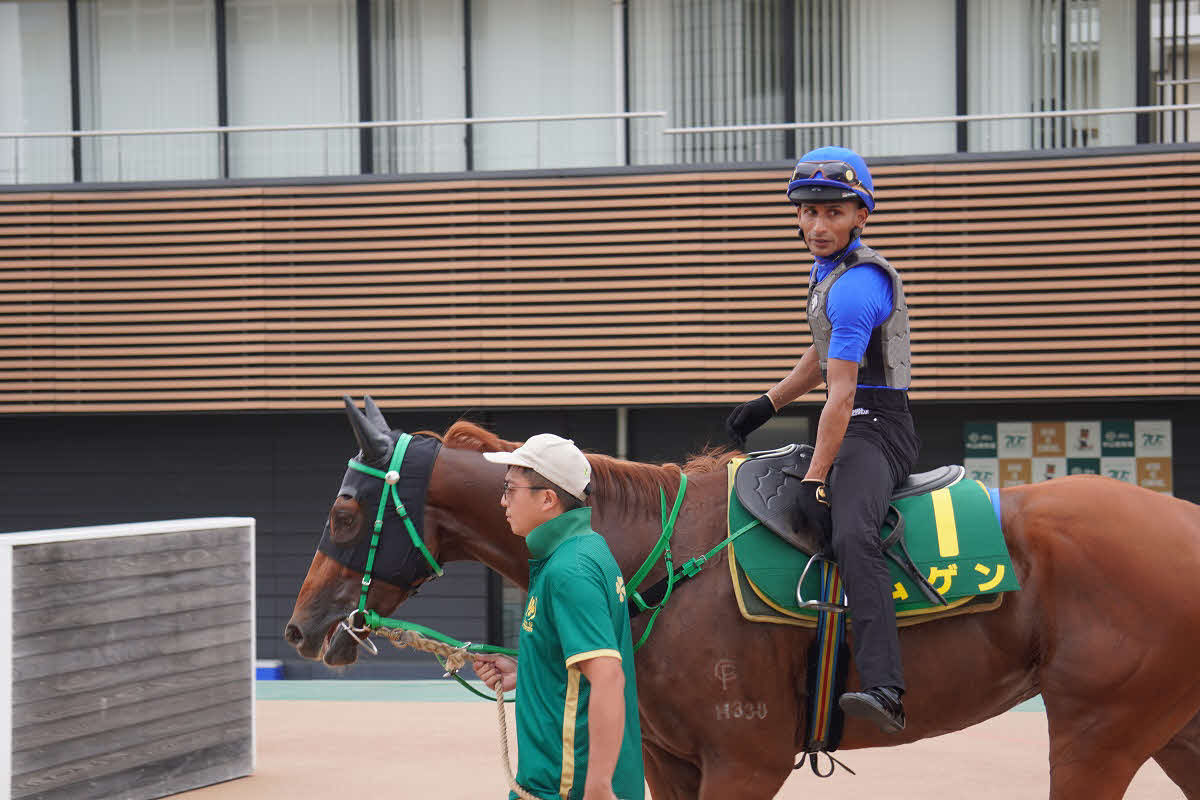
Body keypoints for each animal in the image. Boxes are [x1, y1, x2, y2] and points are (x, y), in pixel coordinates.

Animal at [284, 399, 1200, 799]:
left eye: (342, 512)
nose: (300, 626)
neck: (656, 557)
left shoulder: (743, 760)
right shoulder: (671, 762)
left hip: (1097, 733)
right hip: (1171, 729)